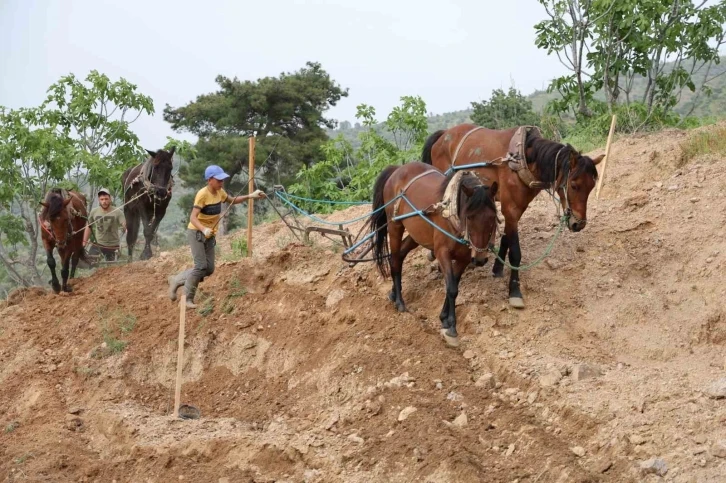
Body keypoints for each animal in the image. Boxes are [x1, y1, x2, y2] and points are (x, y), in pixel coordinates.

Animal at [370, 163, 500, 348]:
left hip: (416, 234)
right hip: (394, 226)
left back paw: (394, 294)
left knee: (400, 256)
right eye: (469, 217)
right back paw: (400, 302)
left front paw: (444, 318)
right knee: (394, 260)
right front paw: (451, 328)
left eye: (493, 217)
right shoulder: (442, 252)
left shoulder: (464, 259)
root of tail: (397, 169)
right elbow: (452, 288)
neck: (452, 215)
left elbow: (453, 285)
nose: (480, 259)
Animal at [420, 123, 604, 308]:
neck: (522, 159)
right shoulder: (511, 208)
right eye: (574, 185)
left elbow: (506, 238)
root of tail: (444, 134)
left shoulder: (516, 209)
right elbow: (515, 253)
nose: (578, 224)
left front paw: (497, 268)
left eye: (591, 186)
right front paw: (514, 291)